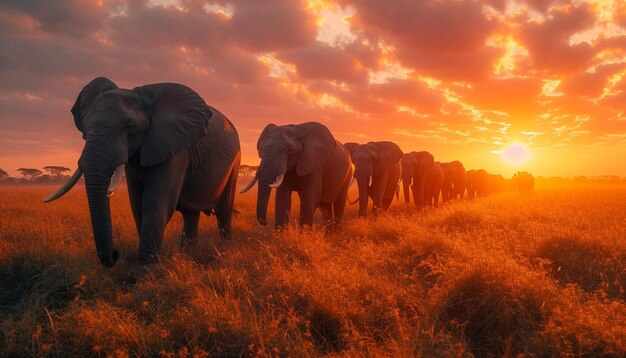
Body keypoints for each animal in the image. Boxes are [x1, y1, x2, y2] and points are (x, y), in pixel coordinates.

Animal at [44, 77, 239, 268]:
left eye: (129, 128)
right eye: (86, 128)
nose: (115, 254)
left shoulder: (174, 148)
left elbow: (156, 201)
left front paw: (147, 267)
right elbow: (137, 203)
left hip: (235, 161)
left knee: (224, 211)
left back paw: (225, 248)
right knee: (191, 214)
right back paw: (188, 254)